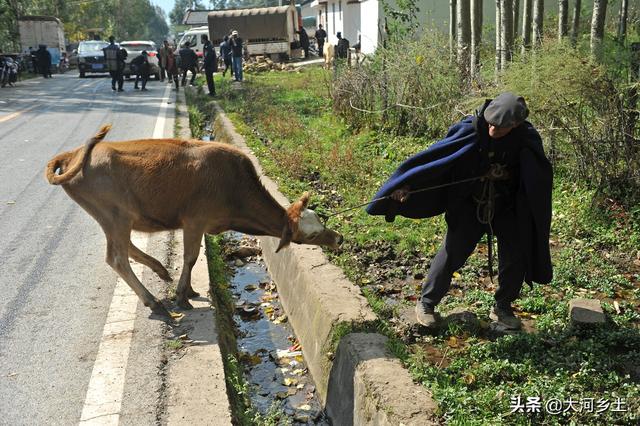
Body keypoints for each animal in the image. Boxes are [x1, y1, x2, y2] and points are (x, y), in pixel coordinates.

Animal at [45, 125, 342, 318]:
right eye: (311, 235)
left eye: (320, 219)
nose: (338, 238)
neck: (234, 188)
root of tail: (71, 155)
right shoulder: (195, 220)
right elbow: (191, 257)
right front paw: (182, 296)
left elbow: (192, 258)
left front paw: (187, 290)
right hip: (115, 215)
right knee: (117, 258)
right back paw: (154, 302)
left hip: (114, 218)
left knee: (126, 248)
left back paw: (160, 270)